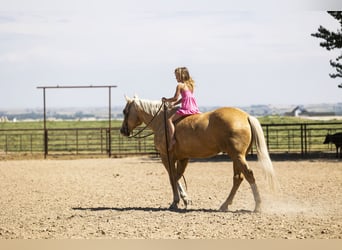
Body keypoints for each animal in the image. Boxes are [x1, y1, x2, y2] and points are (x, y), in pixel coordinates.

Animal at [121, 95, 276, 211]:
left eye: (124, 111)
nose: (123, 130)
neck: (161, 121)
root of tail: (246, 116)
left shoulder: (166, 157)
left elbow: (172, 177)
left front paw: (176, 202)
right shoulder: (183, 158)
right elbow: (177, 177)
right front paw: (185, 200)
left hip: (237, 156)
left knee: (248, 175)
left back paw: (257, 206)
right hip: (237, 156)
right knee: (238, 178)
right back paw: (225, 205)